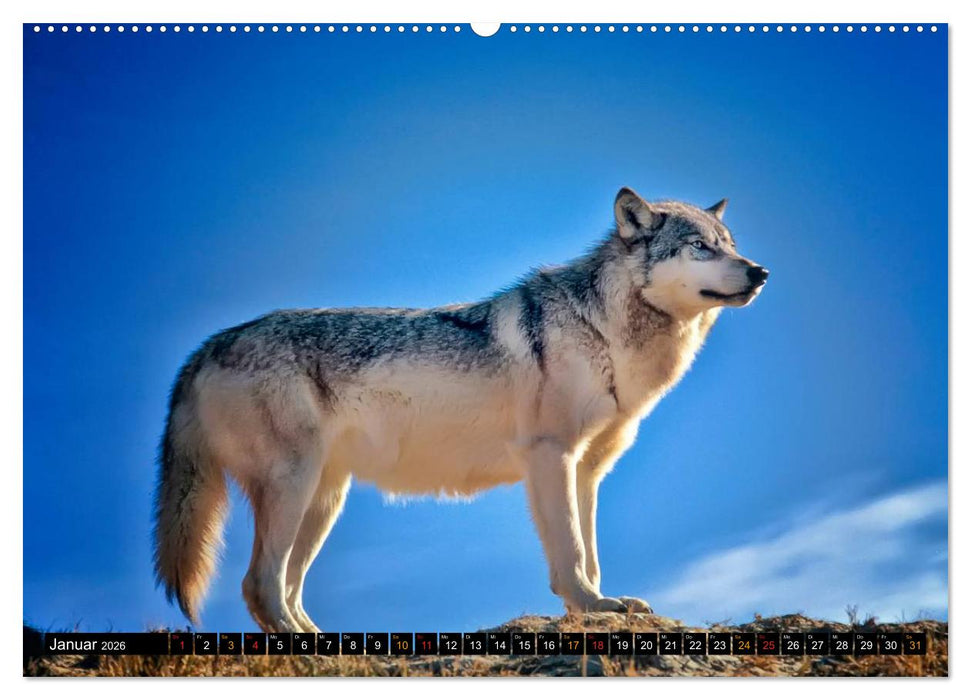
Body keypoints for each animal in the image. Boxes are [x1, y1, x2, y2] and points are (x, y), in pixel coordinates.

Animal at [153, 187, 769, 632]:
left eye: (730, 243)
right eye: (701, 247)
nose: (760, 271)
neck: (604, 332)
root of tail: (202, 349)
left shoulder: (588, 470)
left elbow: (591, 554)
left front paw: (596, 606)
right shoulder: (550, 457)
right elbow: (570, 553)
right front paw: (592, 608)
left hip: (323, 500)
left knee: (284, 589)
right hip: (294, 488)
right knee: (259, 586)